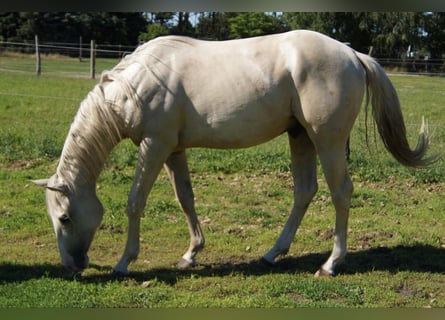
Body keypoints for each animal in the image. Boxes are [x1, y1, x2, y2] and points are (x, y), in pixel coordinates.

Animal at [33, 29, 436, 276]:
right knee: (304, 191)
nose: (72, 264)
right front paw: (191, 253)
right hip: (301, 137)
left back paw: (331, 263)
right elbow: (185, 198)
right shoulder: (173, 150)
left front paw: (123, 261)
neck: (135, 85)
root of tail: (353, 54)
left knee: (341, 193)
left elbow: (135, 201)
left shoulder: (154, 145)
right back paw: (273, 253)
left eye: (65, 217)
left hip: (327, 141)